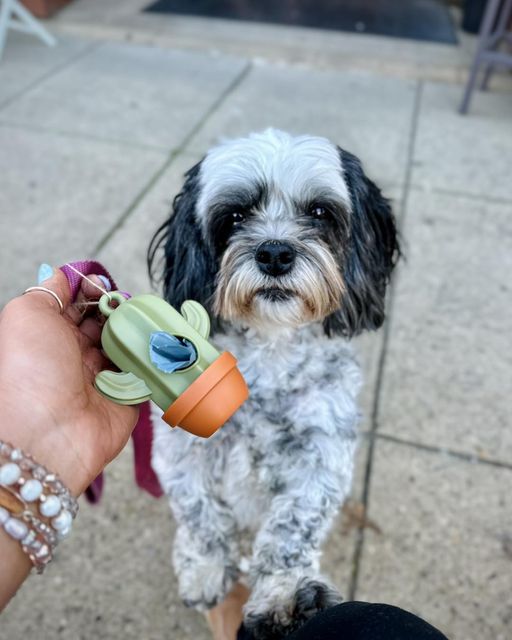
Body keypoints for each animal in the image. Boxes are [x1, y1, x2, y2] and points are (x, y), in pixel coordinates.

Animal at [148, 127, 400, 636]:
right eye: (235, 215)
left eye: (320, 212)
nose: (275, 253)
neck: (270, 352)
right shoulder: (179, 447)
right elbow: (198, 511)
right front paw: (204, 569)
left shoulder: (320, 455)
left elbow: (291, 529)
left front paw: (284, 595)